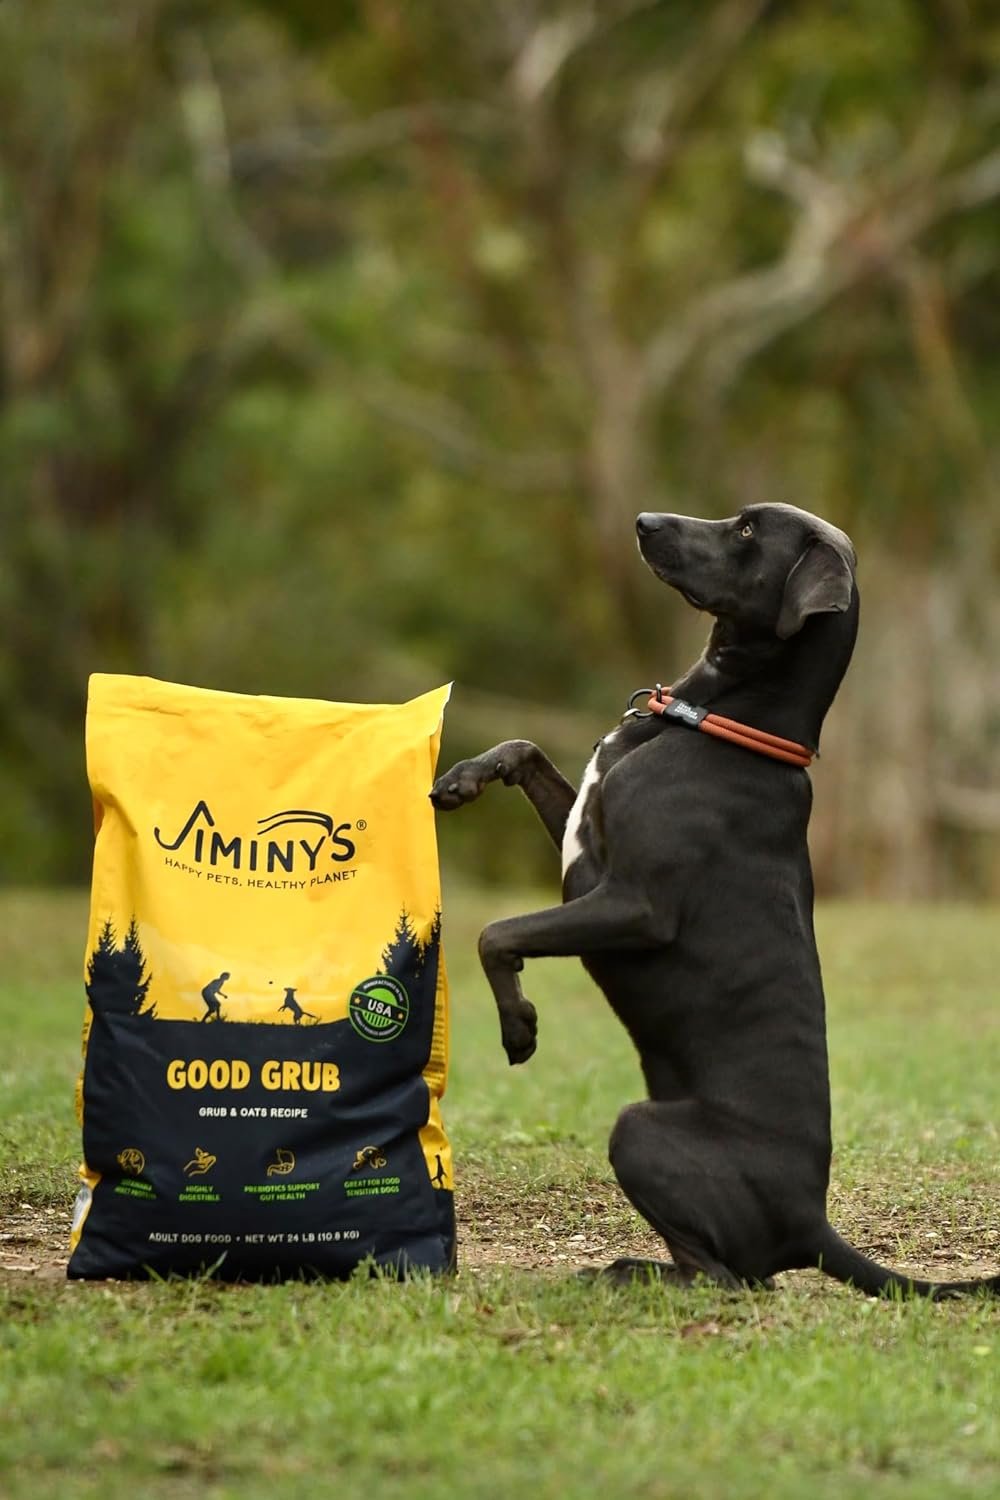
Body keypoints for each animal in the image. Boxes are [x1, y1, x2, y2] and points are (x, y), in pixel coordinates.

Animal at [431, 502, 999, 1298]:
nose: (642, 520)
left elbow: (497, 932)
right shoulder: (583, 843)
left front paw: (518, 1027)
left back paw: (625, 1272)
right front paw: (459, 779)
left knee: (724, 1278)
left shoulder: (632, 905)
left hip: (639, 1129)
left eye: (749, 532)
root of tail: (811, 1225)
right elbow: (524, 749)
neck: (720, 725)